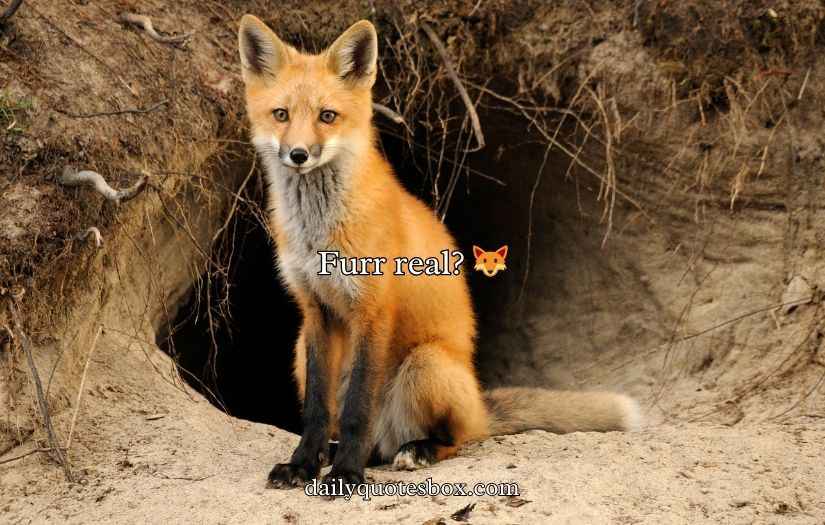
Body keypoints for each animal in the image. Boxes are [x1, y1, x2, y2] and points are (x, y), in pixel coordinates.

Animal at [237, 15, 641, 488]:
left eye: (327, 116)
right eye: (281, 114)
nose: (298, 154)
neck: (318, 234)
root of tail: (479, 404)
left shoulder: (374, 310)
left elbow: (356, 410)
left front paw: (348, 474)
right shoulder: (316, 311)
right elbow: (318, 410)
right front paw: (303, 464)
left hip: (426, 364)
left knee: (454, 438)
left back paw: (417, 450)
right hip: (301, 348)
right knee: (374, 439)